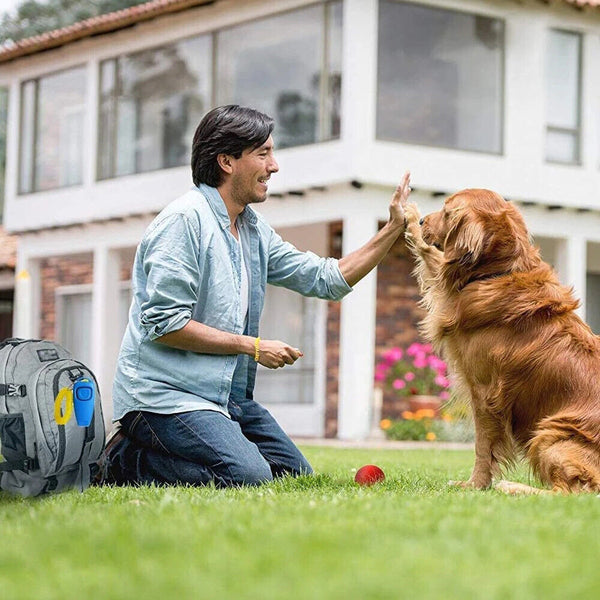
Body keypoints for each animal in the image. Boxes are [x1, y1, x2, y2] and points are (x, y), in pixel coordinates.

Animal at [400, 190, 600, 494]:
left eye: (446, 212)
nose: (424, 221)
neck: (500, 272)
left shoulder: (484, 392)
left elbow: (483, 447)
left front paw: (474, 485)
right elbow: (432, 254)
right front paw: (409, 217)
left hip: (551, 434)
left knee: (569, 492)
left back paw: (511, 487)